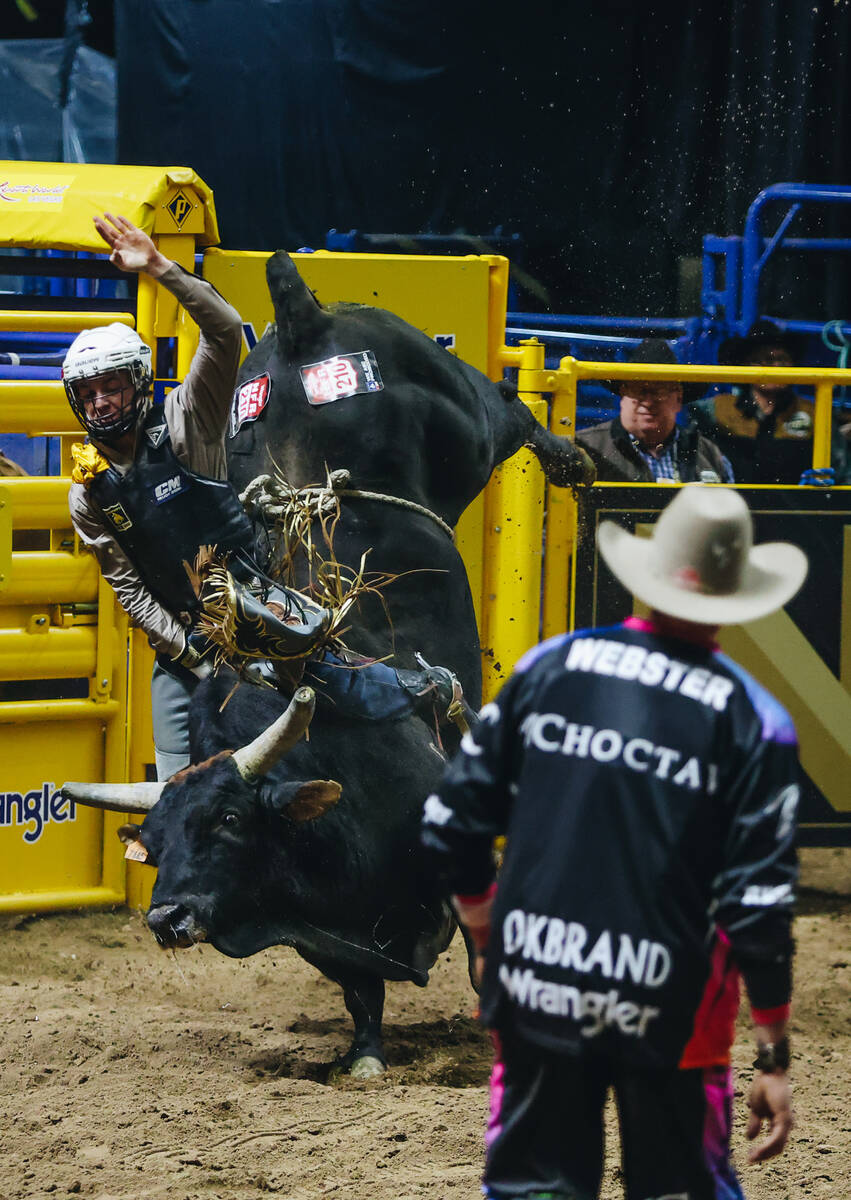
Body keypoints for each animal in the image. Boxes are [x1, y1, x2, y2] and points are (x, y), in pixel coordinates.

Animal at [64, 255, 590, 1080]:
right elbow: (359, 989)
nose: (167, 915)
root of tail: (302, 319)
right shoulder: (329, 932)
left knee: (509, 410)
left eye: (227, 819)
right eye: (155, 835)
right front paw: (365, 1055)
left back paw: (573, 457)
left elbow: (483, 956)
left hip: (464, 414)